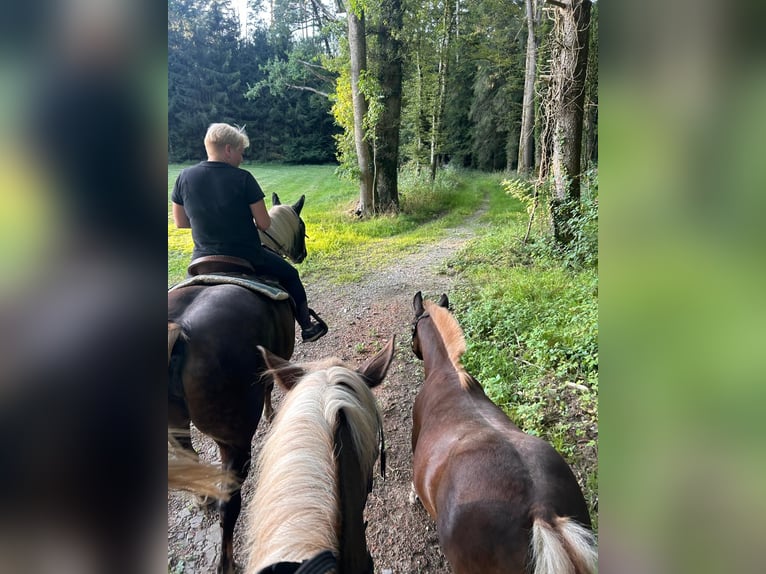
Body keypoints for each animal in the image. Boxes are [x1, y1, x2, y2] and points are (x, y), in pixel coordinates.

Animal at [170, 194, 310, 574]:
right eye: (303, 227)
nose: (302, 254)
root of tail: (180, 330)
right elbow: (270, 386)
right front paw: (271, 414)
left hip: (176, 425)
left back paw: (201, 499)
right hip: (232, 441)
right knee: (229, 503)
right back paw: (227, 561)